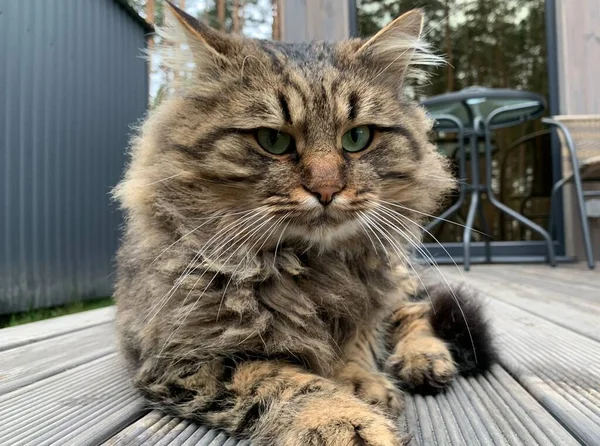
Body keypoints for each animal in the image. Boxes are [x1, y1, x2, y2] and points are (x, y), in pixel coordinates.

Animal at [112, 1, 492, 444]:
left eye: (357, 138)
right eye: (272, 140)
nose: (327, 190)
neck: (308, 268)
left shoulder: (361, 300)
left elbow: (359, 338)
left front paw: (361, 380)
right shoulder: (182, 358)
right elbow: (286, 381)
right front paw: (345, 421)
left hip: (397, 274)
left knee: (413, 310)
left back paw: (426, 359)